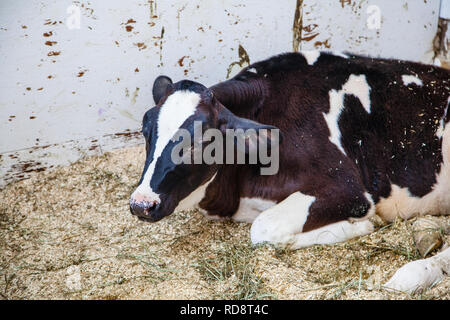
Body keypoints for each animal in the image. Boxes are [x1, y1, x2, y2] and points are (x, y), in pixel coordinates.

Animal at [128, 51, 448, 294]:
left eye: (200, 142)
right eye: (145, 132)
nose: (141, 204)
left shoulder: (349, 190)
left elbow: (263, 229)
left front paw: (358, 227)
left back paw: (414, 273)